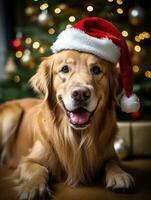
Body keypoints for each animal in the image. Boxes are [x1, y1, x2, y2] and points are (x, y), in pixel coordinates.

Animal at [0, 50, 134, 198]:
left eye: (96, 70)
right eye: (64, 69)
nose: (81, 93)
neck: (77, 136)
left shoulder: (111, 155)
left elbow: (112, 163)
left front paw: (120, 175)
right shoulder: (27, 161)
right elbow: (39, 170)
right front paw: (33, 187)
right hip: (12, 114)